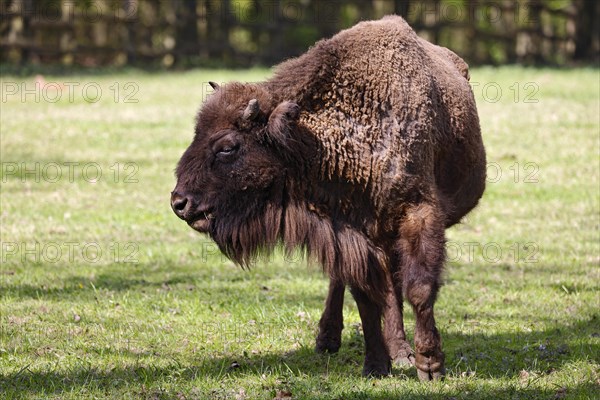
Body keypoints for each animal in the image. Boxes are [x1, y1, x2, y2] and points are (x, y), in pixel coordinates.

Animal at [171, 15, 486, 378]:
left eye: (227, 147)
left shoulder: (418, 215)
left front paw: (430, 365)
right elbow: (365, 296)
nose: (179, 202)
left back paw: (400, 351)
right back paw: (332, 339)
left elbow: (418, 288)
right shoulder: (354, 234)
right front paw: (375, 365)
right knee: (352, 282)